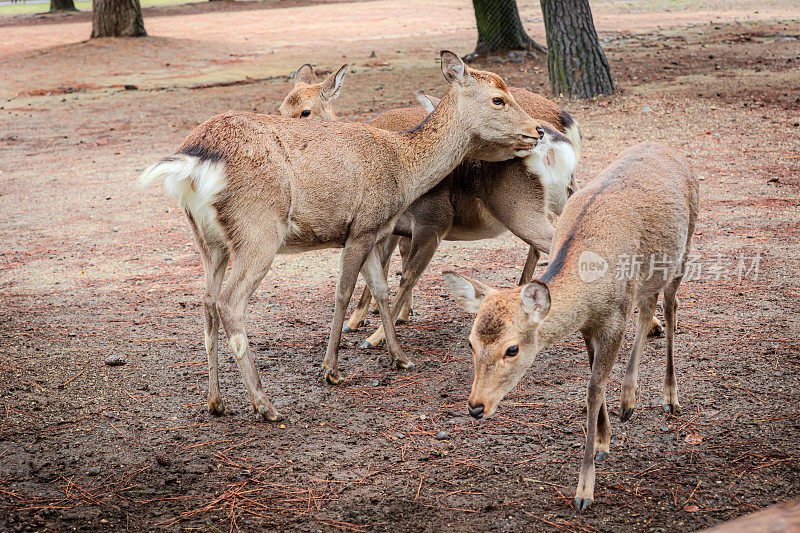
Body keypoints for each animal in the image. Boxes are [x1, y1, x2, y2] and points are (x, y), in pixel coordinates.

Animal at [141, 52, 548, 422]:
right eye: (498, 99)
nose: (539, 130)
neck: (403, 167)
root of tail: (194, 160)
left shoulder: (373, 229)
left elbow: (381, 288)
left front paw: (400, 358)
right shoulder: (362, 226)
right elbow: (343, 291)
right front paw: (331, 369)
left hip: (208, 240)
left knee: (207, 301)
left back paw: (215, 402)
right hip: (258, 230)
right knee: (229, 302)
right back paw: (265, 405)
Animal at [444, 142, 700, 512]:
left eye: (512, 349)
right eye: (470, 343)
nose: (475, 407)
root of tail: (671, 149)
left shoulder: (615, 317)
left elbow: (593, 389)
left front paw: (585, 488)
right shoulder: (588, 324)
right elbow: (594, 375)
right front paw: (605, 439)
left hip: (684, 248)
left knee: (670, 308)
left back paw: (670, 397)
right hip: (647, 277)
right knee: (648, 307)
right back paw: (628, 401)